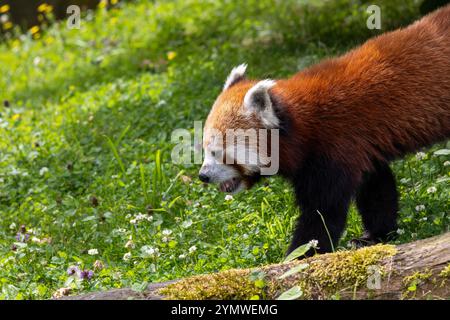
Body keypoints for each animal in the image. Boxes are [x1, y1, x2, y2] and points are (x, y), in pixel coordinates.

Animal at [199, 5, 448, 255]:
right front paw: (376, 235)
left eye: (218, 152)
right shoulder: (363, 149)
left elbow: (322, 214)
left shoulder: (334, 147)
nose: (203, 176)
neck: (302, 127)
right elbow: (377, 189)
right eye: (205, 150)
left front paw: (299, 257)